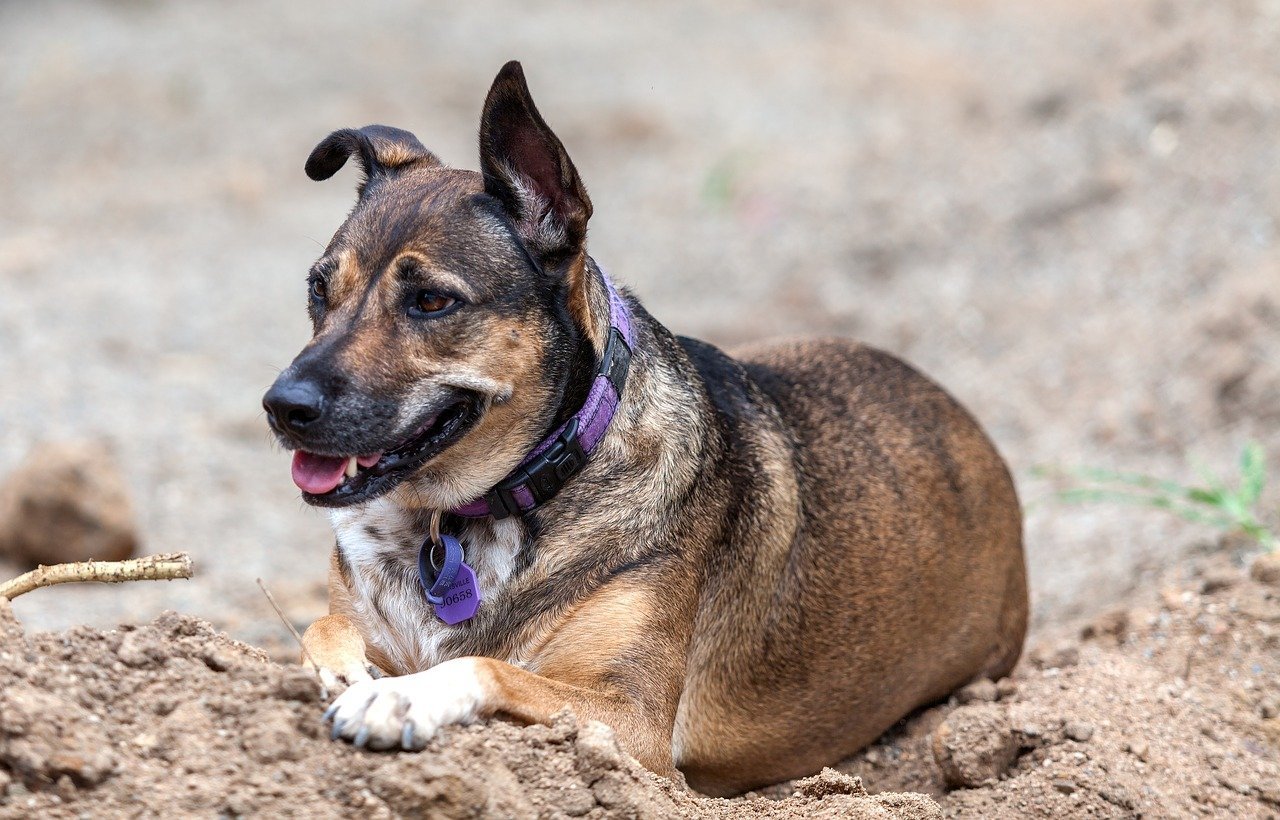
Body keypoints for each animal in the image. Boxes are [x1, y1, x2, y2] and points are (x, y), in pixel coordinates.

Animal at [262, 60, 1029, 798]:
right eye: (317, 289)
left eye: (430, 301)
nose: (281, 406)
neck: (463, 518)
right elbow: (325, 625)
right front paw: (346, 673)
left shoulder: (630, 725)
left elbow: (487, 666)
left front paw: (399, 698)